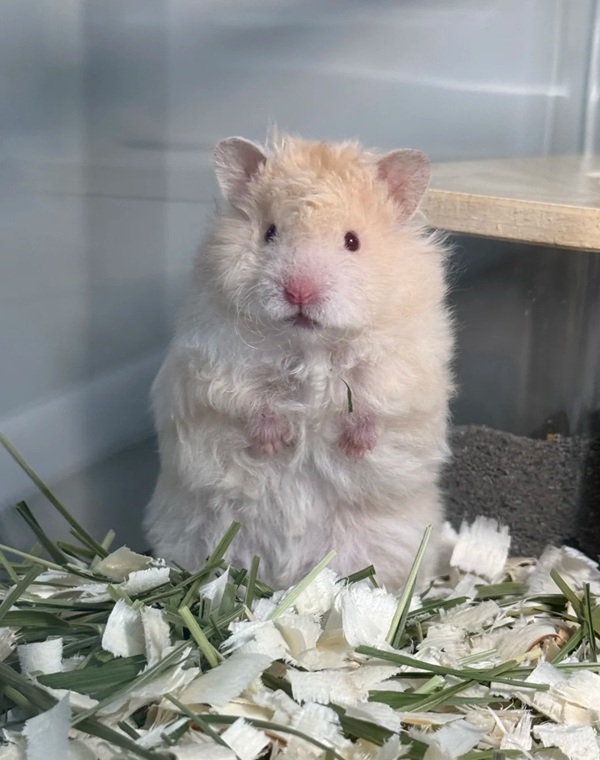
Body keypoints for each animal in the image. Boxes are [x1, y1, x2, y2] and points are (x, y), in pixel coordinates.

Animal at [143, 132, 454, 590]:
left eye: (352, 241)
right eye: (270, 233)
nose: (300, 292)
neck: (312, 346)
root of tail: (285, 575)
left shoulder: (403, 364)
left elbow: (372, 401)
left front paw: (353, 446)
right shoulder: (218, 358)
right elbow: (252, 399)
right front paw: (276, 443)